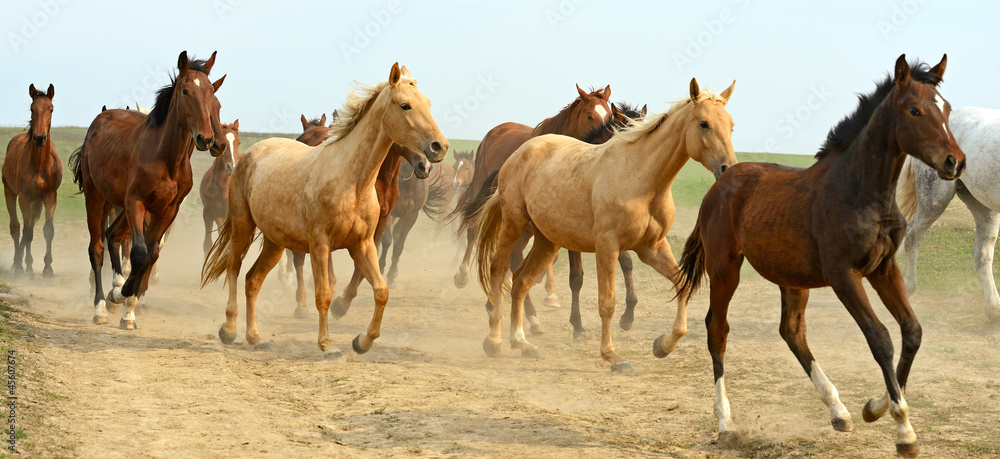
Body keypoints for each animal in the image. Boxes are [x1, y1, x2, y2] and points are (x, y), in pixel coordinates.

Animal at [3, 84, 62, 278]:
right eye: (32, 109)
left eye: (51, 109)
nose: (39, 138)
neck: (39, 165)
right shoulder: (24, 197)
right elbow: (26, 231)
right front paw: (19, 266)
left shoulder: (51, 197)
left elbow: (47, 230)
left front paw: (48, 268)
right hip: (11, 194)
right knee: (17, 227)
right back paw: (20, 264)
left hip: (36, 202)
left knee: (30, 226)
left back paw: (27, 265)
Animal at [69, 51, 227, 329]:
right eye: (185, 91)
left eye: (211, 93)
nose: (207, 139)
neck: (166, 158)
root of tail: (101, 118)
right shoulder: (136, 203)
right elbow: (140, 254)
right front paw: (121, 298)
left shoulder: (167, 210)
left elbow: (151, 255)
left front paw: (128, 306)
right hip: (96, 197)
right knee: (97, 247)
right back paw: (100, 307)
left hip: (120, 204)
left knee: (112, 235)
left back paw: (115, 292)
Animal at [475, 78, 736, 373]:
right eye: (703, 123)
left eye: (730, 124)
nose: (727, 168)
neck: (641, 177)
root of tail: (518, 153)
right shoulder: (607, 246)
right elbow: (607, 302)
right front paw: (612, 356)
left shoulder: (652, 248)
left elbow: (682, 284)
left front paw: (663, 345)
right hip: (514, 225)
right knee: (498, 270)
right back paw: (494, 340)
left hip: (547, 241)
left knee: (521, 280)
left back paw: (522, 343)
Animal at [672, 55, 960, 456]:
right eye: (914, 110)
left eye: (946, 109)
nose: (955, 162)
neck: (862, 191)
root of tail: (719, 184)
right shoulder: (844, 275)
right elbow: (880, 338)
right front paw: (904, 431)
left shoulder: (884, 269)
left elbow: (912, 331)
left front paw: (875, 407)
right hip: (725, 267)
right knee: (718, 328)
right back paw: (726, 423)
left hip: (790, 276)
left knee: (791, 331)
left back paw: (839, 411)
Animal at [896, 106, 1000, 322]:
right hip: (934, 200)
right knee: (912, 235)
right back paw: (908, 286)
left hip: (983, 204)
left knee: (982, 254)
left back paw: (994, 310)